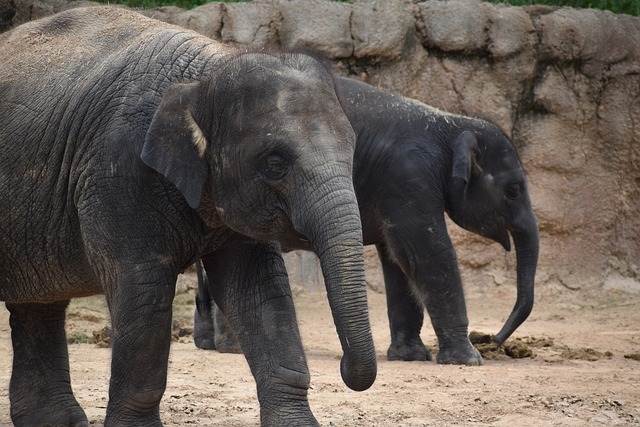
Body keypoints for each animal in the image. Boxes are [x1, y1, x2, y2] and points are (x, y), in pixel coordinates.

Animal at [0, 7, 378, 427]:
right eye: (275, 163)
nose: (343, 367)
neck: (207, 72)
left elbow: (260, 289)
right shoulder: (116, 173)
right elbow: (143, 291)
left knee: (40, 304)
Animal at [194, 75, 540, 366]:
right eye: (513, 190)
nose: (493, 340)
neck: (451, 122)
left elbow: (397, 260)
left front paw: (410, 356)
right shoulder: (407, 177)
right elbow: (426, 252)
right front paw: (466, 361)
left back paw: (218, 345)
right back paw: (233, 348)